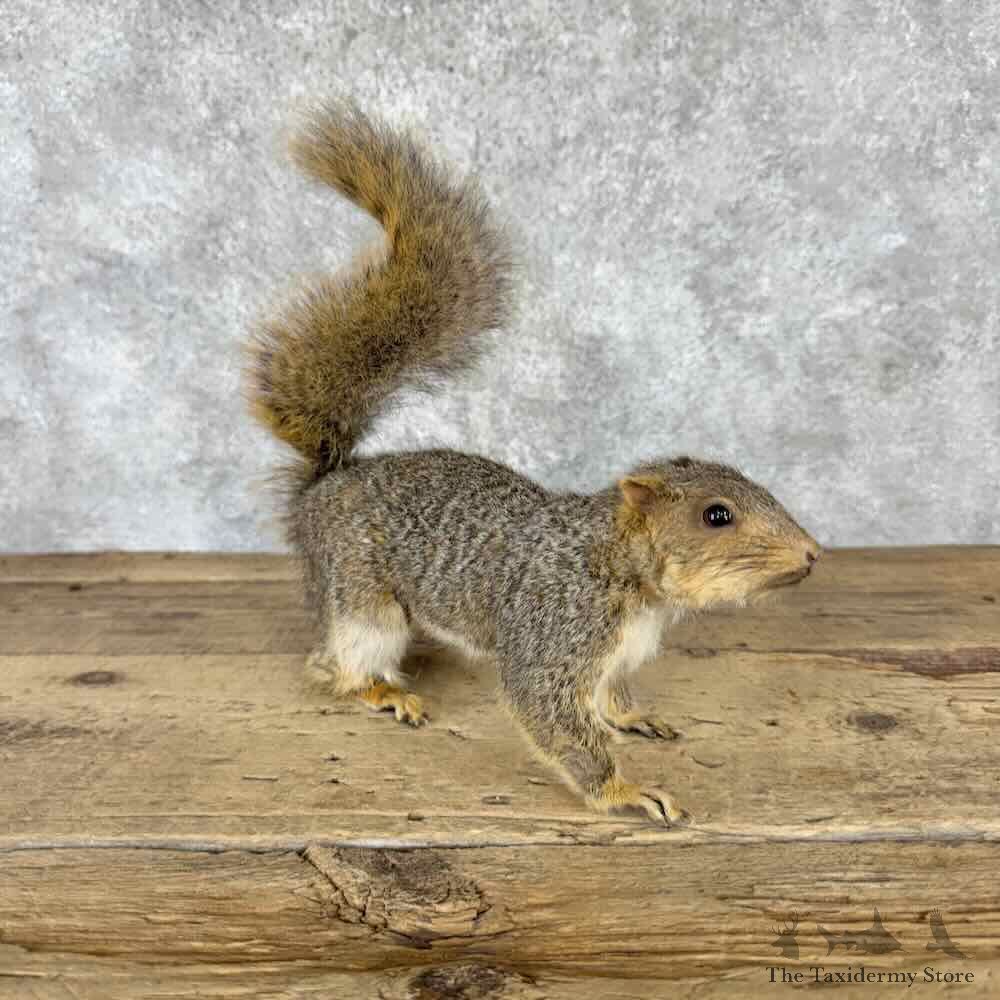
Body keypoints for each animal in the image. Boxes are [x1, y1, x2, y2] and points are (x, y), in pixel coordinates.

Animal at [247, 102, 821, 825]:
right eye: (716, 515)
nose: (812, 555)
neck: (622, 570)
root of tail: (326, 482)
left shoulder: (613, 656)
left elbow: (604, 699)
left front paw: (627, 718)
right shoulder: (555, 625)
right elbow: (546, 709)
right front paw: (628, 791)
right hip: (361, 600)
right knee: (333, 667)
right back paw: (382, 691)